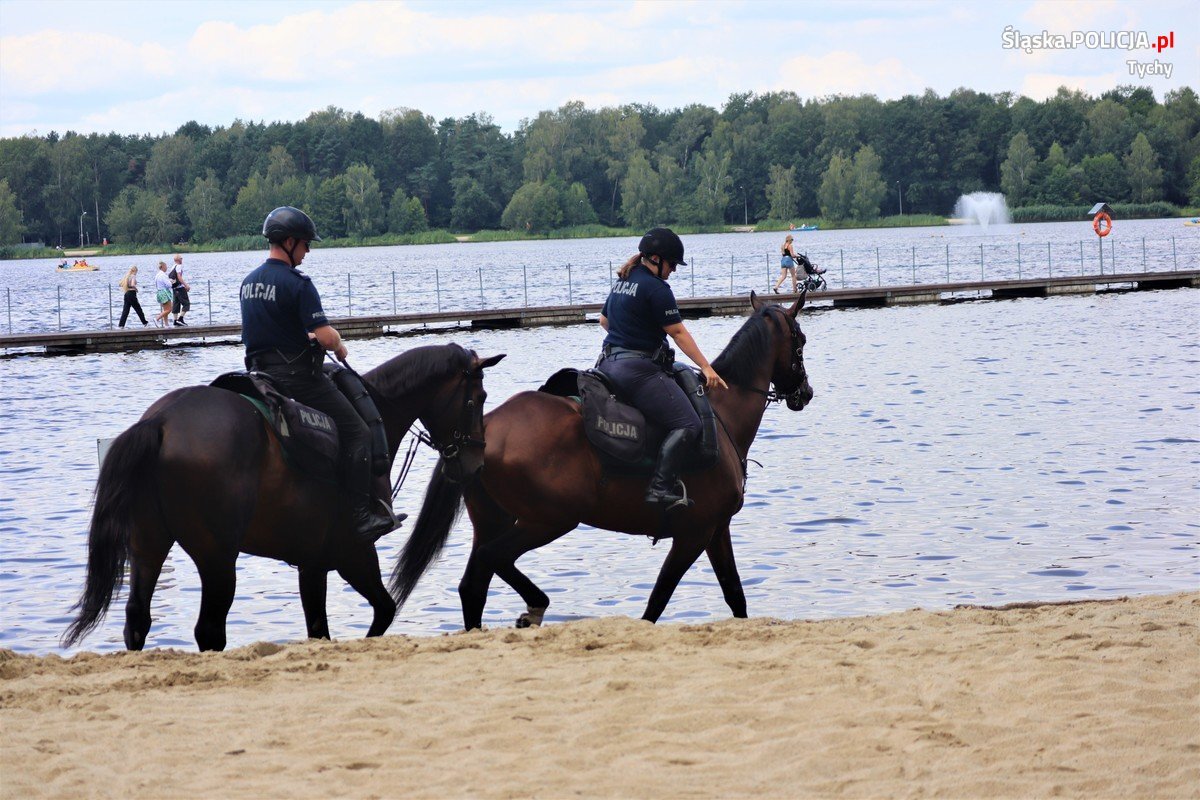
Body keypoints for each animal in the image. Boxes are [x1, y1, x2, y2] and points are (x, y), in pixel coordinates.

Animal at [63, 345, 504, 652]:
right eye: (479, 398)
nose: (476, 463)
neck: (376, 410)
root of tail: (161, 421)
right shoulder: (352, 552)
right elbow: (384, 609)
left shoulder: (313, 561)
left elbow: (320, 629)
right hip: (216, 557)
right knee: (209, 630)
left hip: (148, 545)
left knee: (137, 618)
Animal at [396, 291, 816, 628]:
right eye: (801, 340)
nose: (805, 392)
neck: (722, 413)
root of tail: (484, 428)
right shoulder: (694, 533)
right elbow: (658, 599)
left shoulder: (716, 529)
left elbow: (734, 595)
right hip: (548, 520)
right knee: (492, 558)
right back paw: (536, 605)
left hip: (494, 520)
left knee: (474, 584)